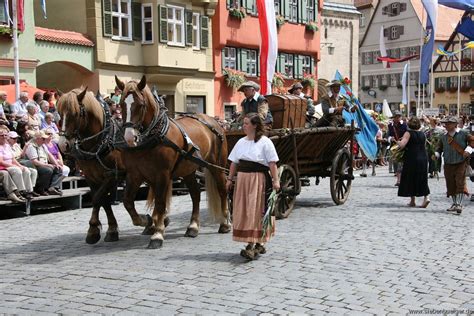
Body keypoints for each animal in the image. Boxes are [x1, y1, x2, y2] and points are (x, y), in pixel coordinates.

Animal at [57, 88, 154, 244]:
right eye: (59, 113)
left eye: (75, 113)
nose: (62, 145)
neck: (100, 142)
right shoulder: (91, 176)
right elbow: (104, 201)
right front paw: (110, 229)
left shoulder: (113, 175)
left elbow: (97, 198)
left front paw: (93, 229)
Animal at [116, 75, 231, 248]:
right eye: (122, 103)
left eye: (140, 105)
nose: (130, 137)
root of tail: (212, 121)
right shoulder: (134, 175)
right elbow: (128, 202)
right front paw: (146, 220)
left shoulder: (162, 174)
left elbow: (160, 203)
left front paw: (157, 233)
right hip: (189, 169)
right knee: (195, 194)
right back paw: (193, 226)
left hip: (217, 166)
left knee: (222, 190)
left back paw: (225, 222)